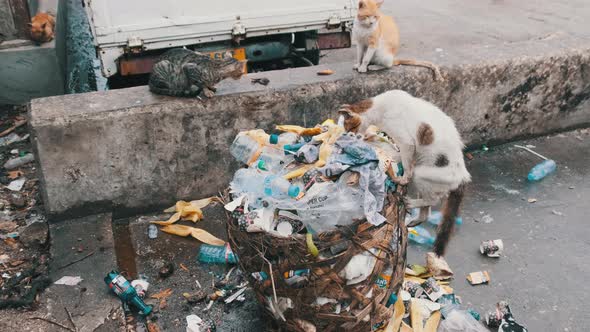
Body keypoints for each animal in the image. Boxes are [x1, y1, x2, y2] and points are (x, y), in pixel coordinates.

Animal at [342, 89, 472, 255]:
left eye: (349, 130)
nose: (348, 138)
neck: (379, 107)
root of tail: (464, 176)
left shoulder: (406, 143)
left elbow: (406, 164)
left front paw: (402, 178)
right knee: (427, 211)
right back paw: (416, 219)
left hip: (422, 175)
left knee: (432, 200)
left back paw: (411, 202)